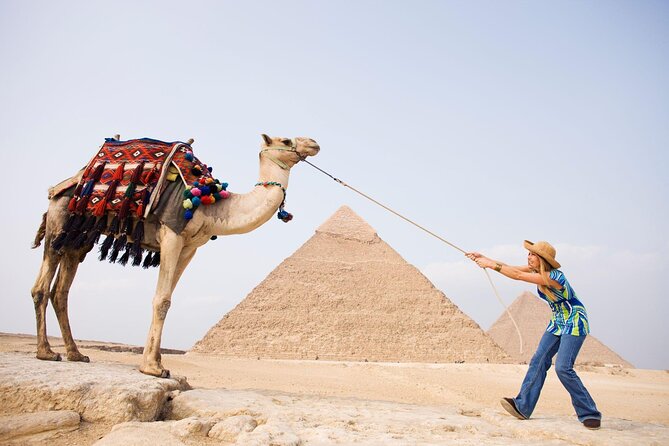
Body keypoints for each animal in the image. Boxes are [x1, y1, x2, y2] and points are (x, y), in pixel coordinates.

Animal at [31, 134, 320, 377]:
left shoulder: (190, 247)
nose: (313, 143)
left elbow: (168, 298)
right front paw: (152, 367)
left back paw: (75, 353)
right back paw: (46, 352)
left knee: (61, 291)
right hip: (59, 222)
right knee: (41, 287)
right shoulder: (172, 234)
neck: (213, 204)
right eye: (286, 140)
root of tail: (60, 187)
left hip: (80, 237)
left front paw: (154, 361)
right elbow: (162, 300)